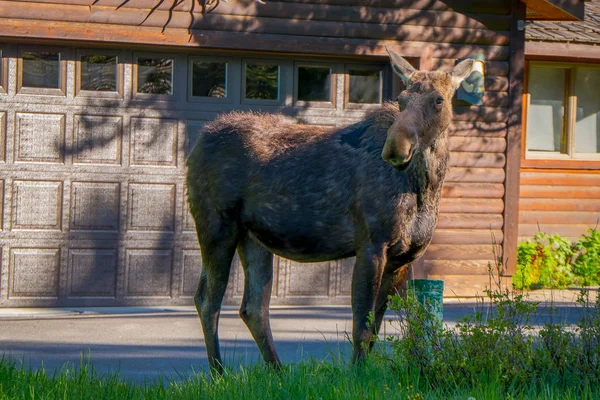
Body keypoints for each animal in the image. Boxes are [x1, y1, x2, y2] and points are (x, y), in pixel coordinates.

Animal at [185, 48, 476, 374]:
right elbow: (361, 324)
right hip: (216, 225)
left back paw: (277, 372)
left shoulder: (404, 255)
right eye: (401, 99)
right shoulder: (371, 243)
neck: (426, 188)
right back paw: (219, 373)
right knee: (207, 300)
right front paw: (357, 374)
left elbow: (376, 324)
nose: (395, 147)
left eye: (438, 99)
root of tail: (197, 143)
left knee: (253, 307)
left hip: (254, 238)